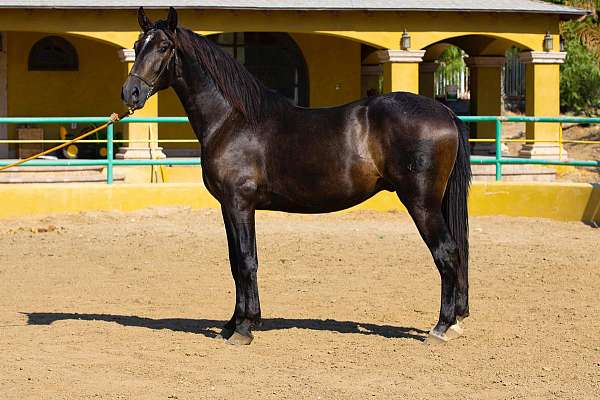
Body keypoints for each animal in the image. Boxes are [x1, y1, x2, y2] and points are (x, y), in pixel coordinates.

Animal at [120, 7, 468, 344]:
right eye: (137, 46)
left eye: (164, 47)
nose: (131, 92)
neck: (232, 120)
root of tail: (445, 111)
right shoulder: (227, 206)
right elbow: (235, 262)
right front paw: (232, 325)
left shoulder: (240, 203)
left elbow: (246, 260)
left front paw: (244, 328)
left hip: (422, 203)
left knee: (446, 252)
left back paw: (440, 328)